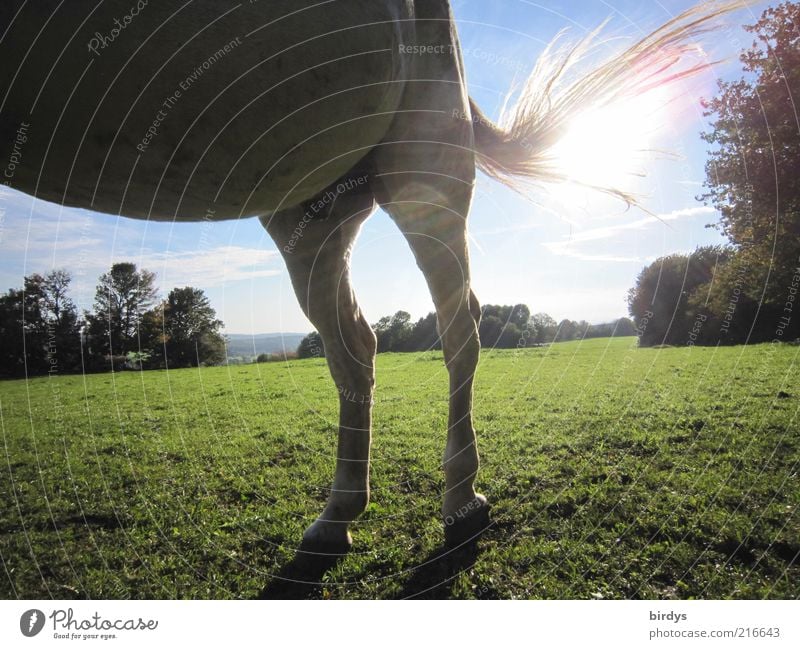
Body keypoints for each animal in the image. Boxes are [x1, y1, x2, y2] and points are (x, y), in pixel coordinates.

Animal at [0, 1, 736, 552]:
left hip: (422, 163)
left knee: (458, 327)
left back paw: (460, 497)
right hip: (310, 201)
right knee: (356, 345)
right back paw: (338, 516)